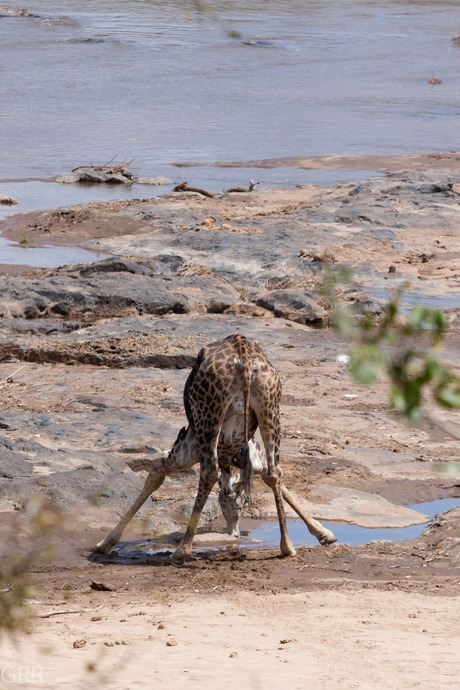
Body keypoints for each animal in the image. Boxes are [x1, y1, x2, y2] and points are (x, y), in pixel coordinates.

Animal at [94, 330, 334, 560]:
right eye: (236, 504)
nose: (233, 533)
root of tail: (244, 357)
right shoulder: (249, 454)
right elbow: (273, 478)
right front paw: (324, 533)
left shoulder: (187, 447)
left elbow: (155, 475)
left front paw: (105, 543)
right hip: (270, 408)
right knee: (275, 472)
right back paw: (287, 547)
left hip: (208, 416)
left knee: (209, 473)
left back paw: (182, 550)